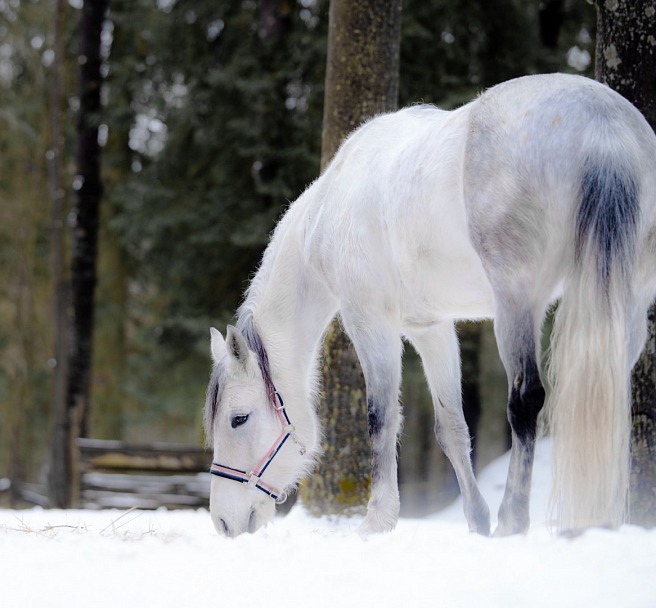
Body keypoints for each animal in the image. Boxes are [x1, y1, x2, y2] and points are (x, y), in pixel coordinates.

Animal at [204, 72, 656, 536]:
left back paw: (514, 519)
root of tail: (601, 126)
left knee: (525, 400)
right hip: (626, 301)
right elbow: (451, 427)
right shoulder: (431, 329)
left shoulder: (371, 323)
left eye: (238, 418)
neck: (329, 208)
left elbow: (381, 418)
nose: (224, 522)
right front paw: (476, 523)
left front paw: (378, 521)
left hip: (517, 304)